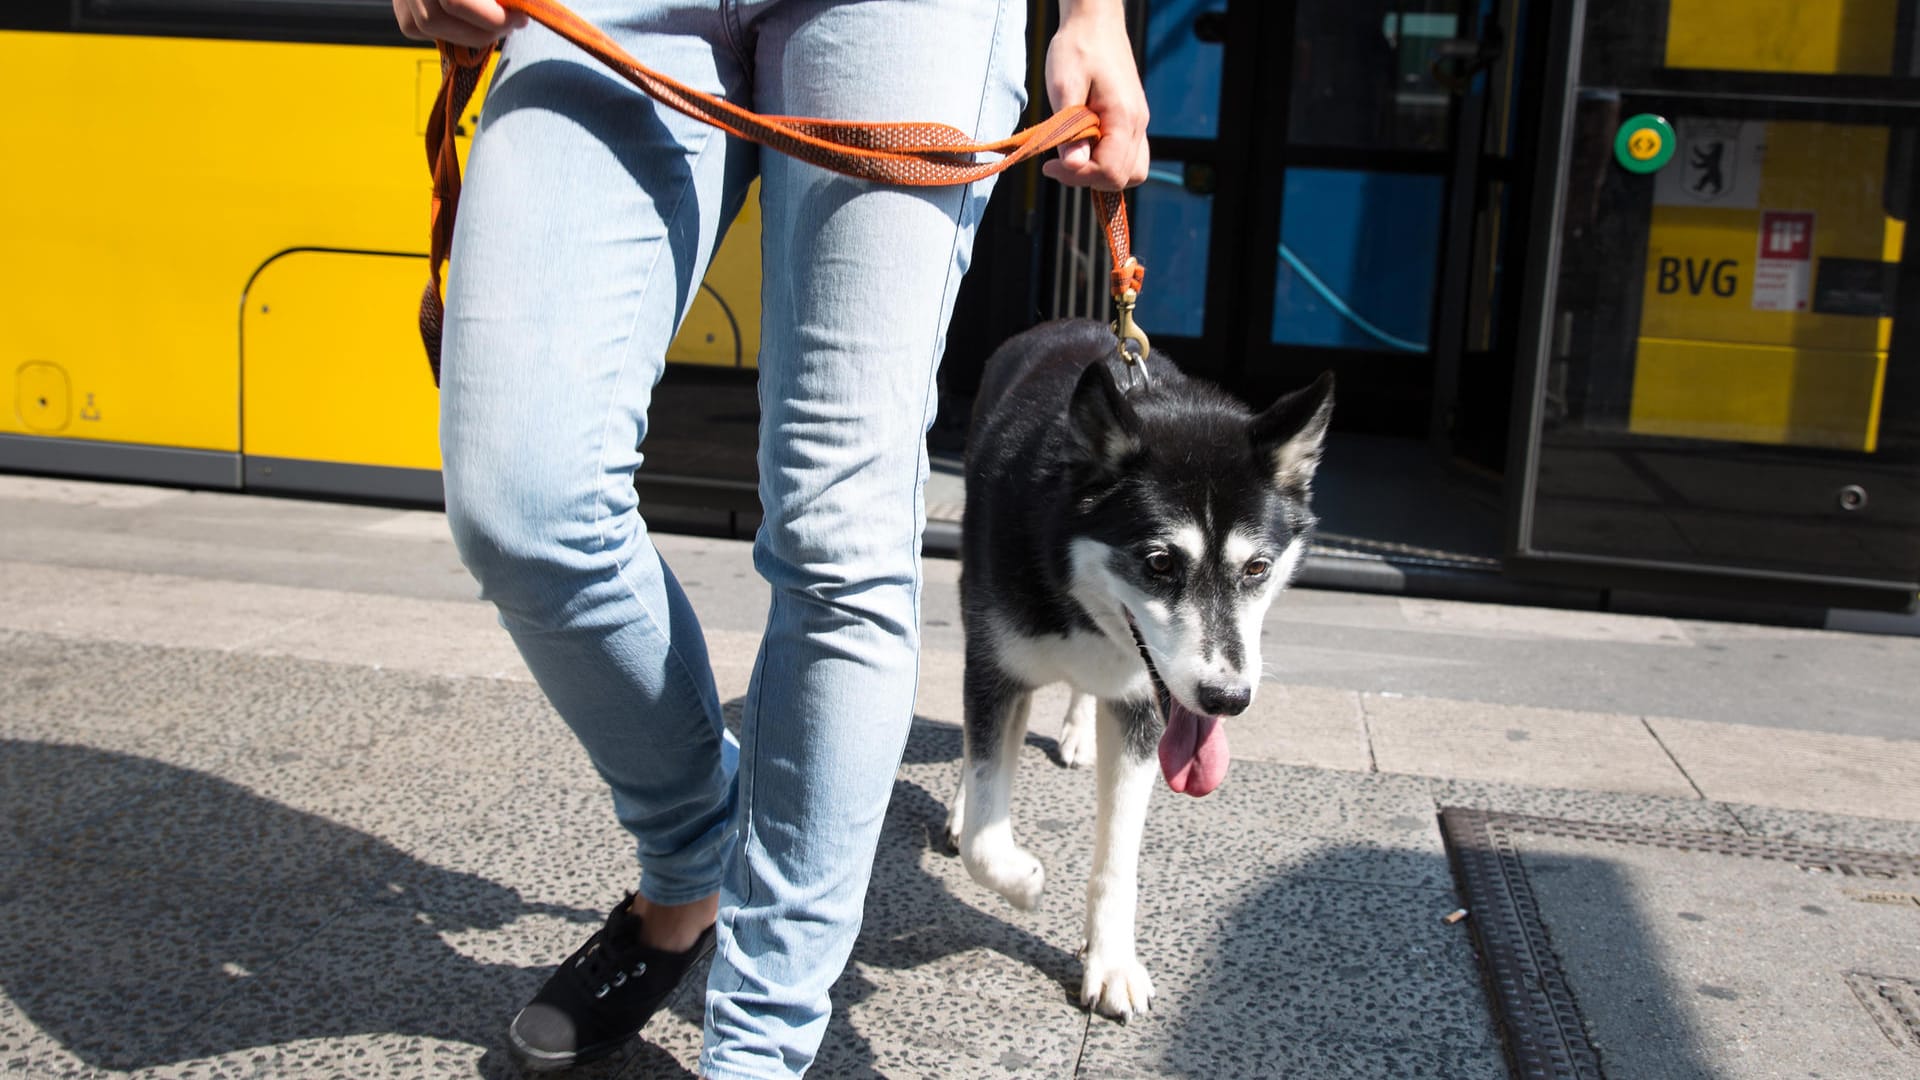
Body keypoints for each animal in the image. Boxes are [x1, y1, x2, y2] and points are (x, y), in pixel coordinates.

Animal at [948, 317, 1336, 1014]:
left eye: (1257, 567)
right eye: (1158, 562)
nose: (1226, 698)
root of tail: (1070, 322)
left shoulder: (1141, 708)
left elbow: (1119, 858)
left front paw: (1111, 963)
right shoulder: (995, 664)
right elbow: (986, 835)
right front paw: (1023, 880)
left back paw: (1077, 731)